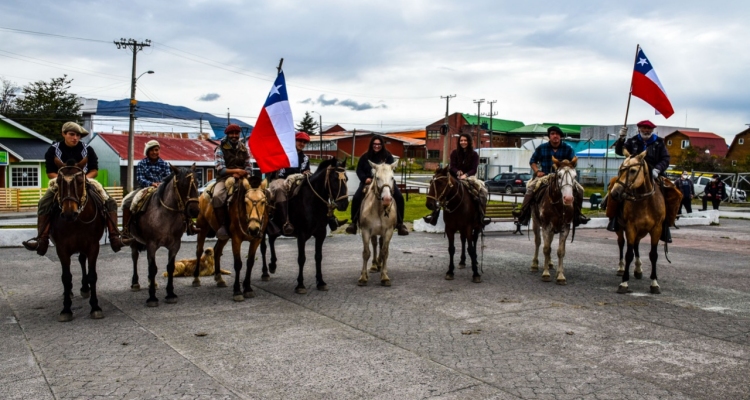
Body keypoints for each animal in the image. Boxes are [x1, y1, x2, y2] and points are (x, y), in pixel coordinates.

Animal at [48, 159, 107, 322]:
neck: (77, 221)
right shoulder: (61, 248)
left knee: (81, 259)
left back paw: (85, 288)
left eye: (80, 182)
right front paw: (66, 309)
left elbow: (92, 275)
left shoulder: (93, 246)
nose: (69, 213)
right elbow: (66, 278)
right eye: (59, 182)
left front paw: (95, 307)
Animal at [128, 165, 201, 306]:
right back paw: (135, 283)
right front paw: (152, 297)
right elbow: (152, 268)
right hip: (134, 240)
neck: (166, 215)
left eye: (197, 183)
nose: (195, 211)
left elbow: (170, 267)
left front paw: (170, 294)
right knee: (134, 257)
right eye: (182, 185)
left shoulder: (175, 245)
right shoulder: (151, 245)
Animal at [260, 159, 352, 294]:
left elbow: (318, 257)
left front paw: (321, 282)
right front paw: (300, 285)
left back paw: (273, 265)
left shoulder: (320, 234)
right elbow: (301, 258)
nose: (344, 204)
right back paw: (265, 273)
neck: (312, 202)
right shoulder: (302, 235)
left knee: (271, 239)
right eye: (335, 179)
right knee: (263, 247)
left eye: (346, 178)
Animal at [528, 156, 580, 284]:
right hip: (536, 222)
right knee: (538, 242)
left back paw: (550, 264)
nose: (568, 198)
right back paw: (534, 264)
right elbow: (546, 249)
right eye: (560, 175)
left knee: (550, 243)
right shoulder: (546, 227)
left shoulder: (565, 228)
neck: (558, 206)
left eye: (575, 176)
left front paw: (560, 275)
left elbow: (560, 251)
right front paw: (546, 274)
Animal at [612, 150, 676, 294]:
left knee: (636, 245)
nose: (615, 193)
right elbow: (628, 254)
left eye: (633, 170)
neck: (645, 202)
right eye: (620, 169)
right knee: (621, 243)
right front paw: (624, 283)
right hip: (620, 229)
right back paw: (621, 268)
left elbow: (653, 255)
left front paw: (654, 283)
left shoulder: (656, 229)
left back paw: (638, 269)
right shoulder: (630, 227)